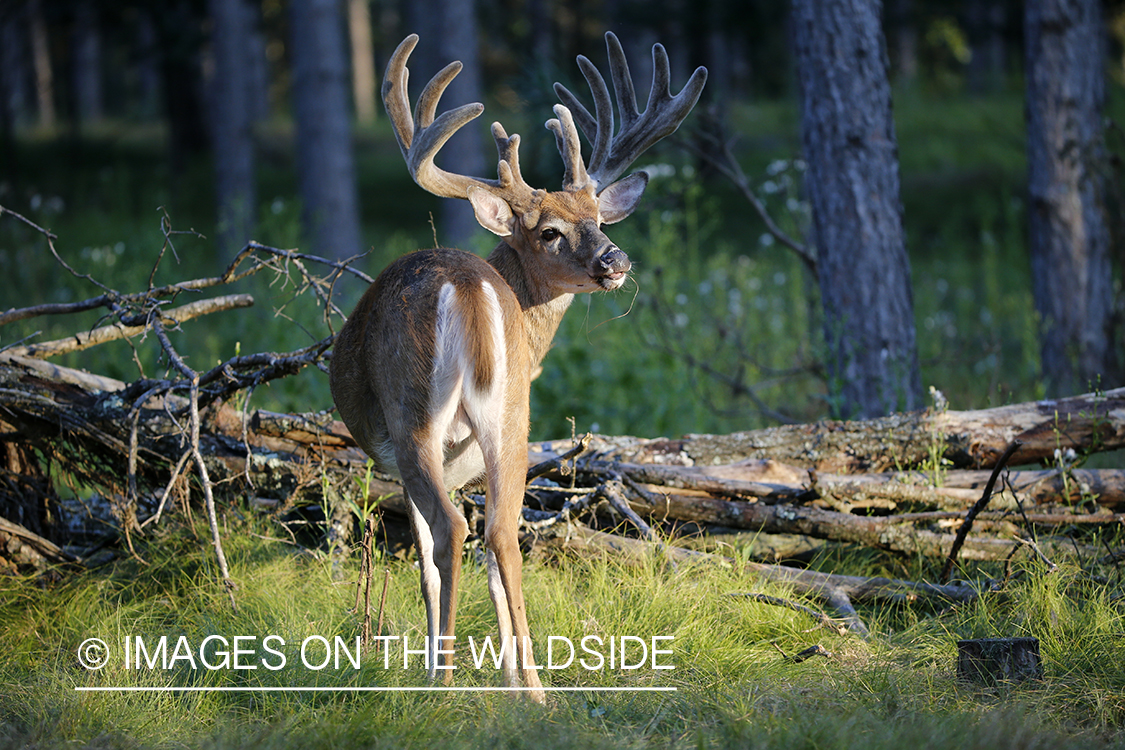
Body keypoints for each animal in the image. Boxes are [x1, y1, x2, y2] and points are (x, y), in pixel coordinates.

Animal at [328, 29, 706, 701]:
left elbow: (425, 561)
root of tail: (466, 286)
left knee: (452, 530)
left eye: (598, 219)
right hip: (512, 418)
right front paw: (511, 679)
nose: (615, 259)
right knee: (503, 533)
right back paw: (534, 691)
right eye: (552, 231)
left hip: (413, 411)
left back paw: (444, 684)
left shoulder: (396, 458)